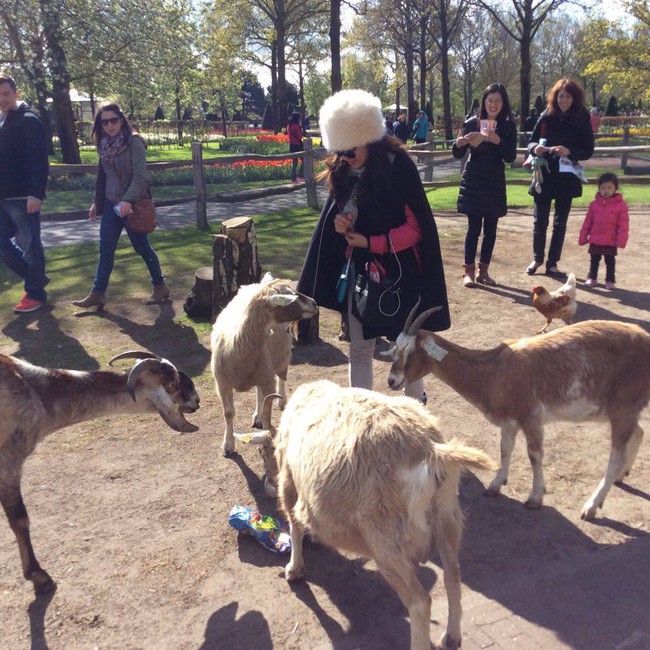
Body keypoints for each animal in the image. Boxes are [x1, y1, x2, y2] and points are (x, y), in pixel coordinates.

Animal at [0, 350, 199, 592]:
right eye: (172, 384)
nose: (196, 400)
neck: (36, 389)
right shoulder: (8, 462)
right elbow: (20, 520)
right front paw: (40, 576)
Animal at [210, 270, 316, 458]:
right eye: (289, 297)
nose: (314, 303)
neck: (238, 345)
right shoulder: (222, 384)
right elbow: (228, 413)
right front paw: (228, 444)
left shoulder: (267, 379)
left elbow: (268, 413)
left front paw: (267, 437)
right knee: (260, 394)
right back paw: (257, 416)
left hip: (281, 356)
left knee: (281, 378)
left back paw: (281, 402)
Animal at [240, 380, 494, 648]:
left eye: (262, 453)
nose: (268, 485)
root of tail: (431, 451)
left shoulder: (289, 483)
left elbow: (295, 526)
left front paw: (293, 570)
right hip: (447, 519)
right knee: (453, 577)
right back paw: (451, 637)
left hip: (386, 542)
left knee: (420, 602)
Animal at [384, 302, 648, 520]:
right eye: (395, 350)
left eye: (411, 353)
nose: (392, 381)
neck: (494, 371)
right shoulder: (509, 421)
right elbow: (505, 449)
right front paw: (495, 484)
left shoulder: (531, 417)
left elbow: (535, 455)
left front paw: (535, 498)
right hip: (624, 408)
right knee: (639, 432)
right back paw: (622, 475)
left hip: (622, 408)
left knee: (616, 456)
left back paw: (592, 506)